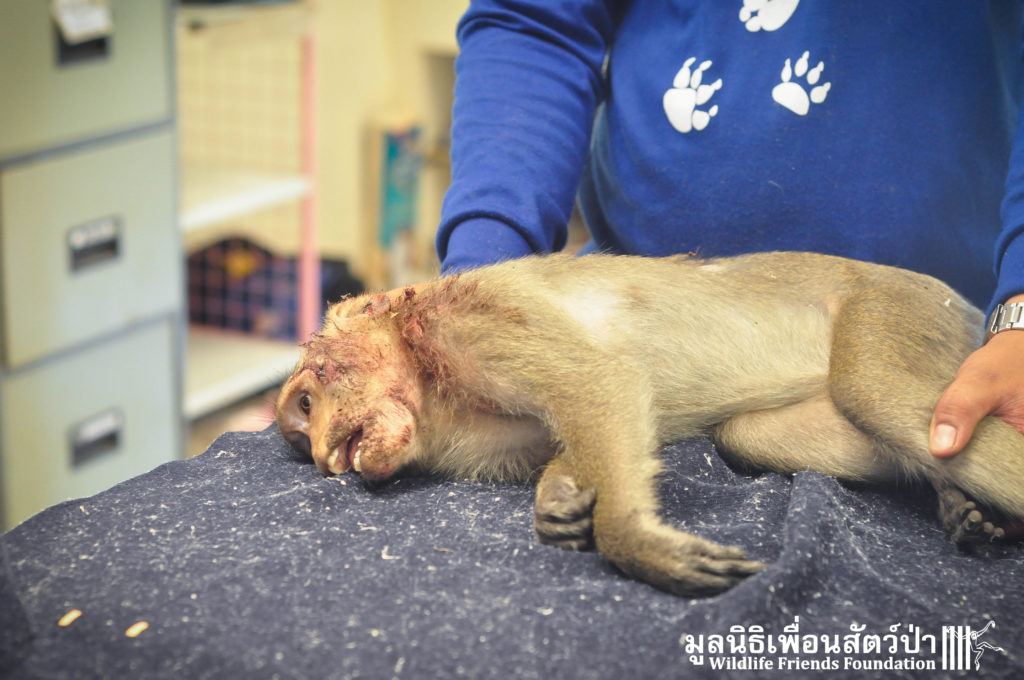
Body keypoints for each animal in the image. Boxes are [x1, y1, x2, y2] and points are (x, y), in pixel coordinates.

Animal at [276, 251, 1024, 597]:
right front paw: (558, 498)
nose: (321, 452)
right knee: (750, 435)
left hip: (898, 306)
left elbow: (598, 381)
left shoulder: (475, 318)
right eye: (303, 431)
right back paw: (953, 500)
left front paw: (631, 538)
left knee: (874, 393)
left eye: (306, 401)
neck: (429, 375)